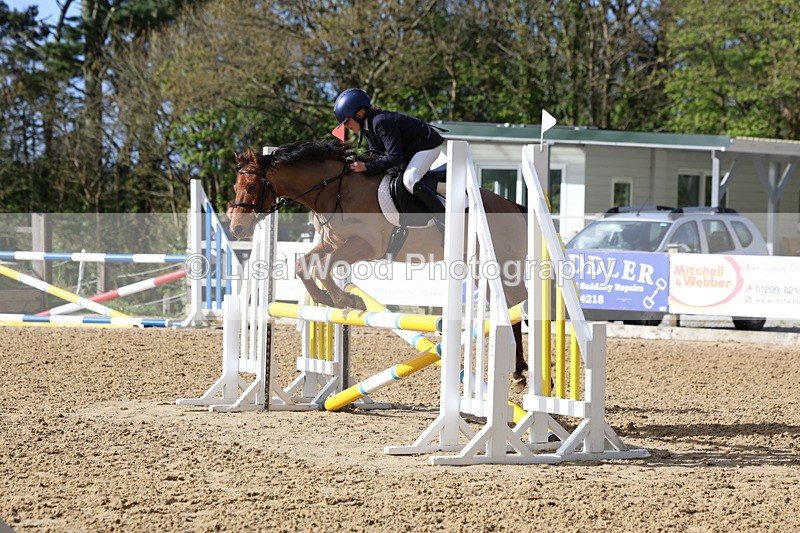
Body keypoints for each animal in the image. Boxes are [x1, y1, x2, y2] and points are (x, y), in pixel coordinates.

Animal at [229, 141, 530, 382]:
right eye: (236, 187)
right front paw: (327, 298)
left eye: (252, 186)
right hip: (481, 270)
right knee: (511, 307)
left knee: (521, 303)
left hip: (503, 265)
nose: (236, 229)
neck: (335, 190)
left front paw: (349, 301)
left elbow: (325, 268)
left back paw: (524, 373)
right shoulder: (334, 242)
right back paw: (518, 371)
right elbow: (304, 264)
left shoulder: (366, 246)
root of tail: (513, 206)